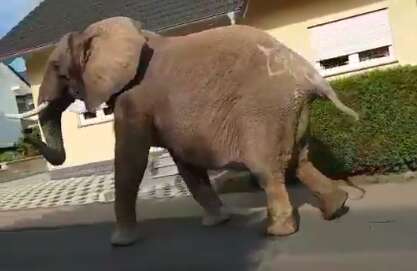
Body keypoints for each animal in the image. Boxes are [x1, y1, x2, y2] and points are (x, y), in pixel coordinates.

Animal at [5, 16, 358, 246]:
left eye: (56, 68)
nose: (27, 137)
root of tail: (311, 76)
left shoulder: (134, 100)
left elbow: (130, 160)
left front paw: (120, 241)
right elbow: (184, 163)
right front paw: (217, 222)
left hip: (264, 111)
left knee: (268, 169)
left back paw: (277, 232)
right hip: (288, 112)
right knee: (300, 161)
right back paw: (337, 207)